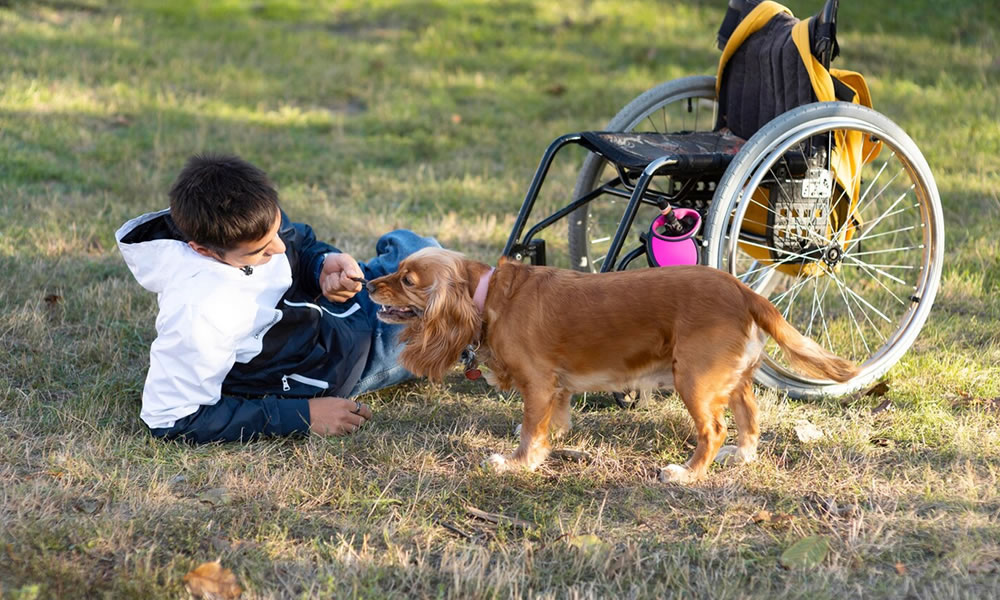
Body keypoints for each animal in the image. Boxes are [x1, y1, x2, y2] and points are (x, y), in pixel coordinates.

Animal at [372, 248, 856, 482]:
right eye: (395, 271)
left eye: (407, 280)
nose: (370, 284)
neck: (489, 297)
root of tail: (744, 290)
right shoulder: (556, 386)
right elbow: (550, 421)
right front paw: (548, 443)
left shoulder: (538, 382)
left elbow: (530, 430)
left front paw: (518, 463)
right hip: (731, 378)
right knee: (749, 417)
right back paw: (742, 455)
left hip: (694, 378)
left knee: (713, 430)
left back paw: (688, 474)